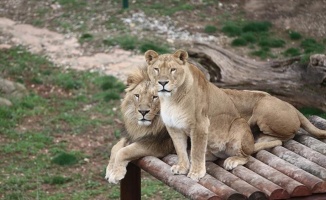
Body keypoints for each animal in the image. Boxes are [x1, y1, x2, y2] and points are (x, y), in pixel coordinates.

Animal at [145, 49, 255, 181]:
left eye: (173, 69)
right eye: (156, 69)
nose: (162, 82)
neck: (171, 99)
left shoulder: (200, 125)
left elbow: (196, 151)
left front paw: (196, 172)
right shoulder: (173, 126)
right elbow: (180, 149)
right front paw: (182, 167)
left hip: (238, 124)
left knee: (247, 156)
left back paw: (232, 160)